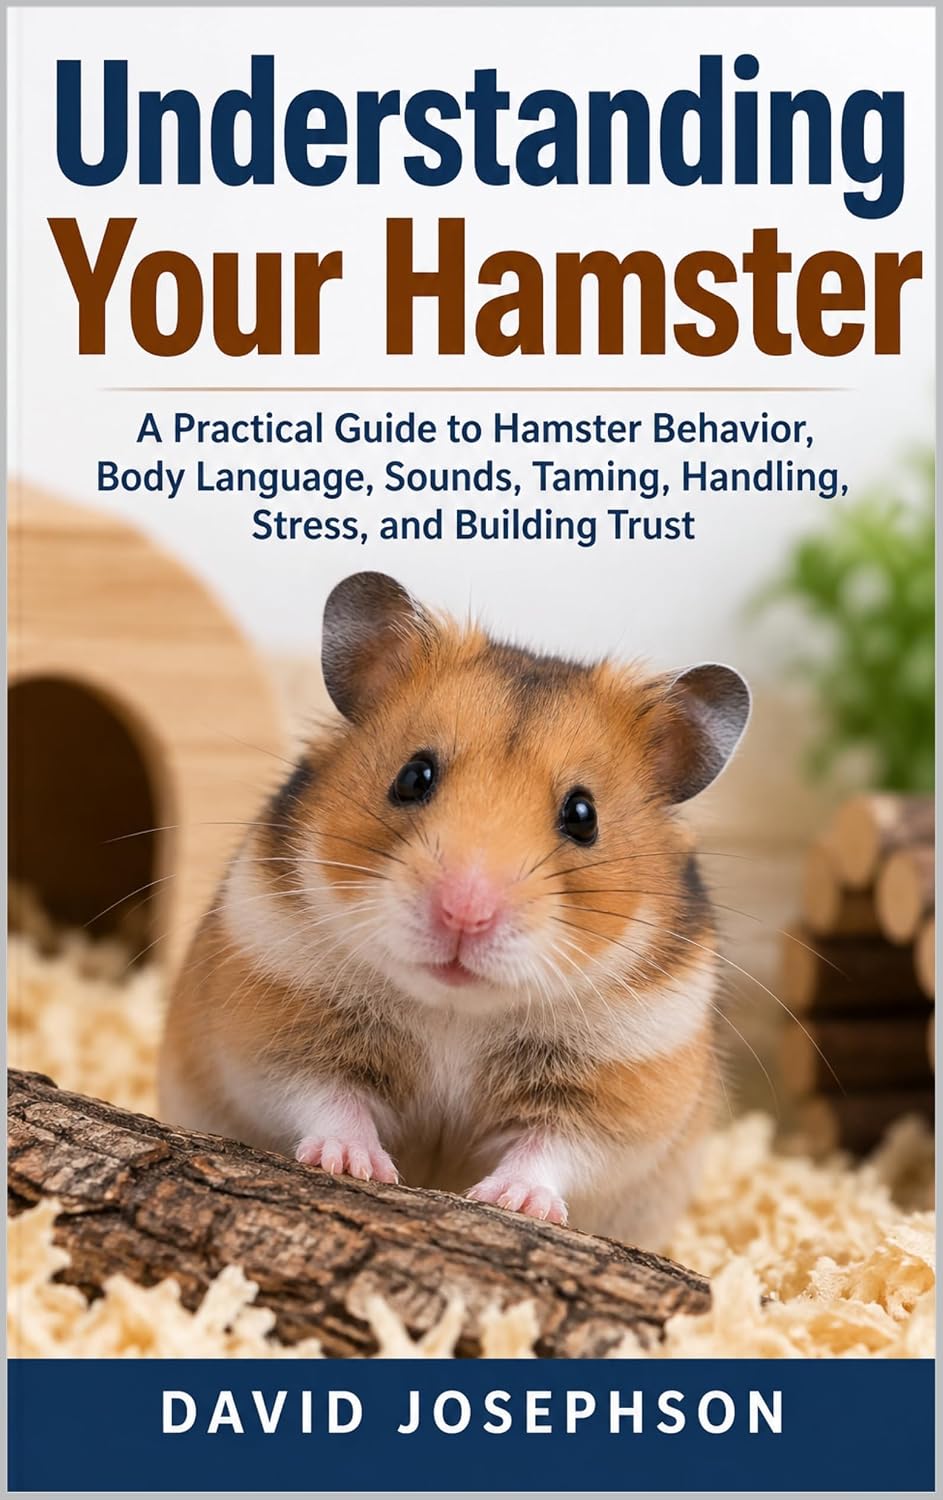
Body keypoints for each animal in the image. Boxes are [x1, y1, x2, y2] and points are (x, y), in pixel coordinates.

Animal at [159, 571, 750, 1249]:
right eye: (414, 776)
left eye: (583, 815)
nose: (464, 914)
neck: (456, 1012)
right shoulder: (276, 1029)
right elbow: (327, 1097)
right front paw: (354, 1164)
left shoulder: (622, 1088)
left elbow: (554, 1148)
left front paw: (513, 1202)